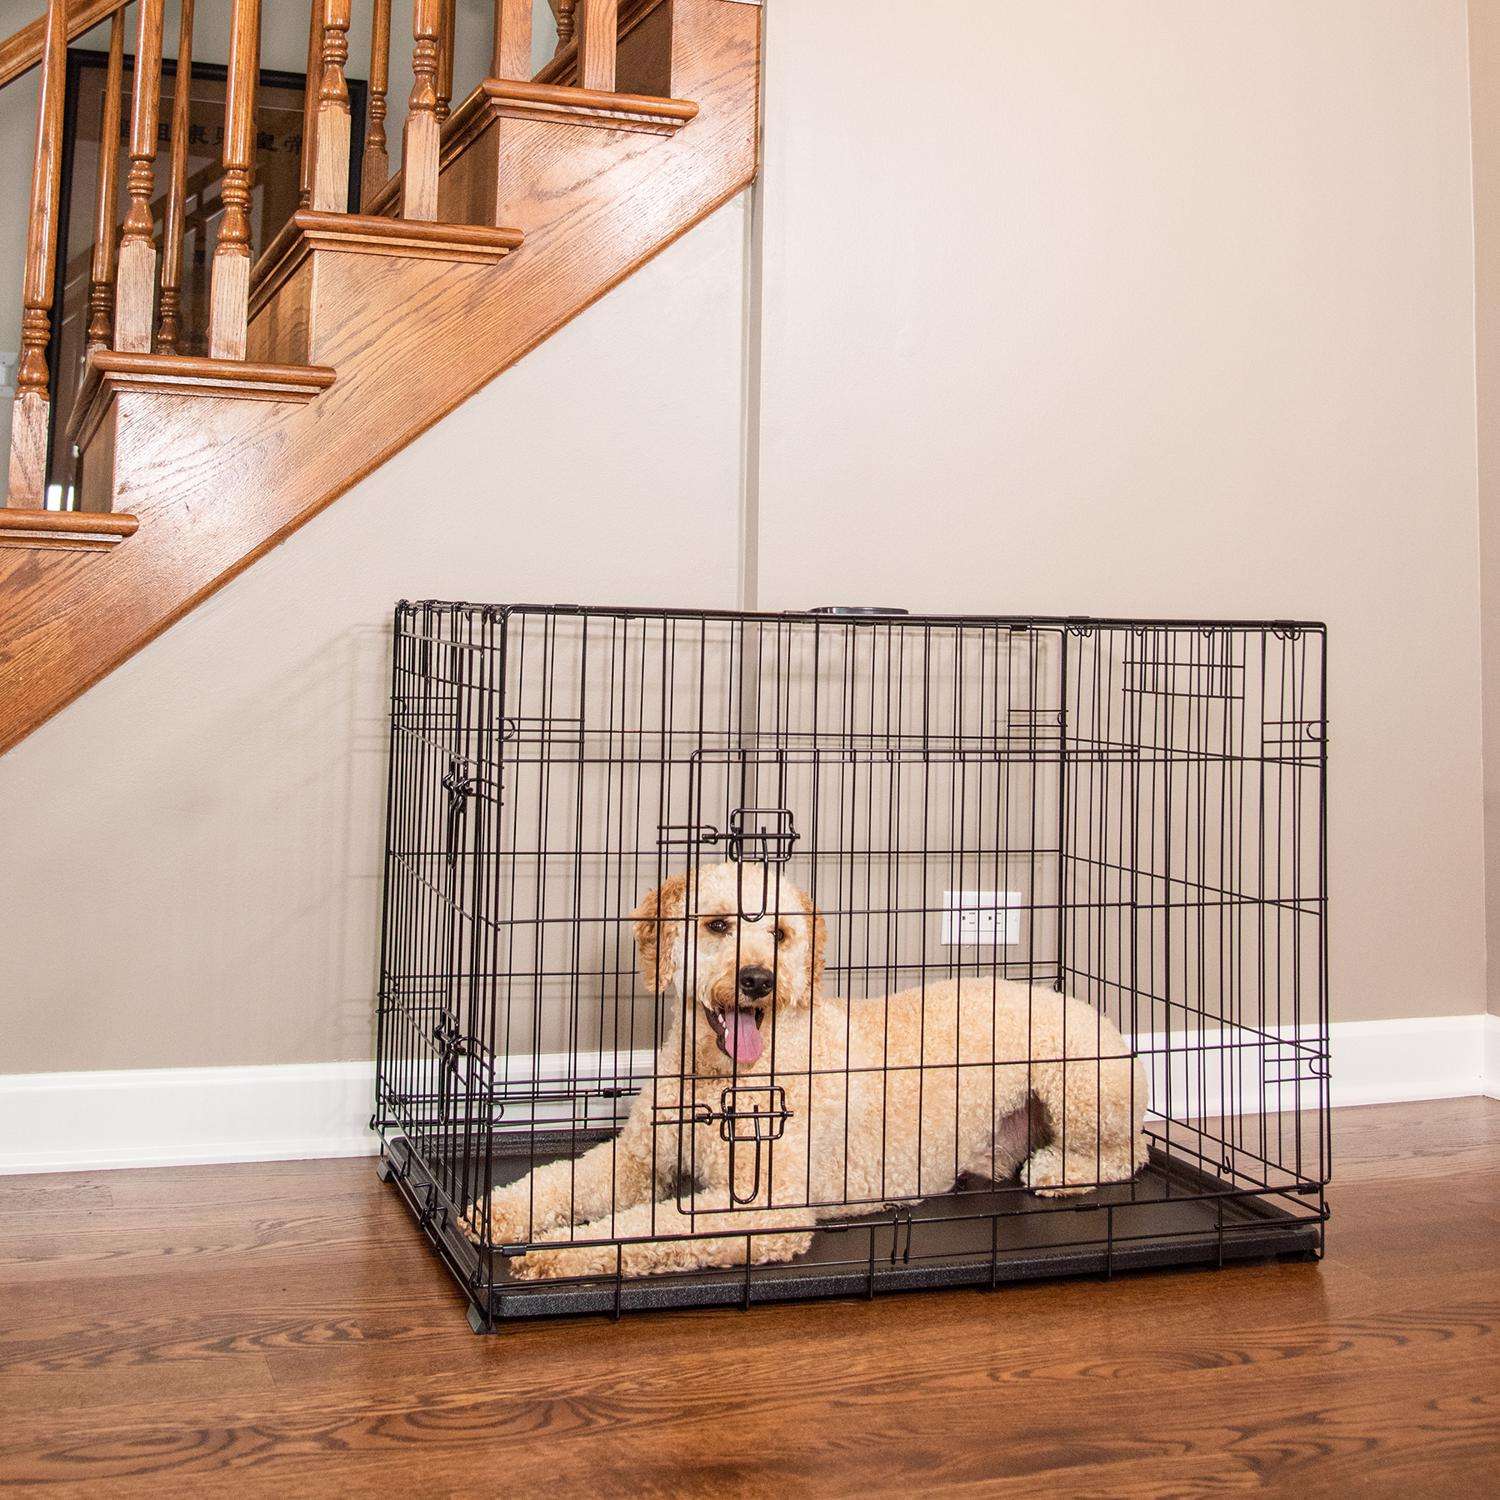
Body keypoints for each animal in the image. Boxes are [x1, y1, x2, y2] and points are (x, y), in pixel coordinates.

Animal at [480, 870, 1146, 1278]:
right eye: (717, 924)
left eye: (780, 932)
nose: (758, 980)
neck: (717, 1075)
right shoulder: (638, 1158)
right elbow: (560, 1181)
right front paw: (493, 1215)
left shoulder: (761, 1206)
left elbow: (644, 1230)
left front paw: (554, 1253)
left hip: (1081, 1086)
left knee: (1125, 1155)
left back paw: (1059, 1171)